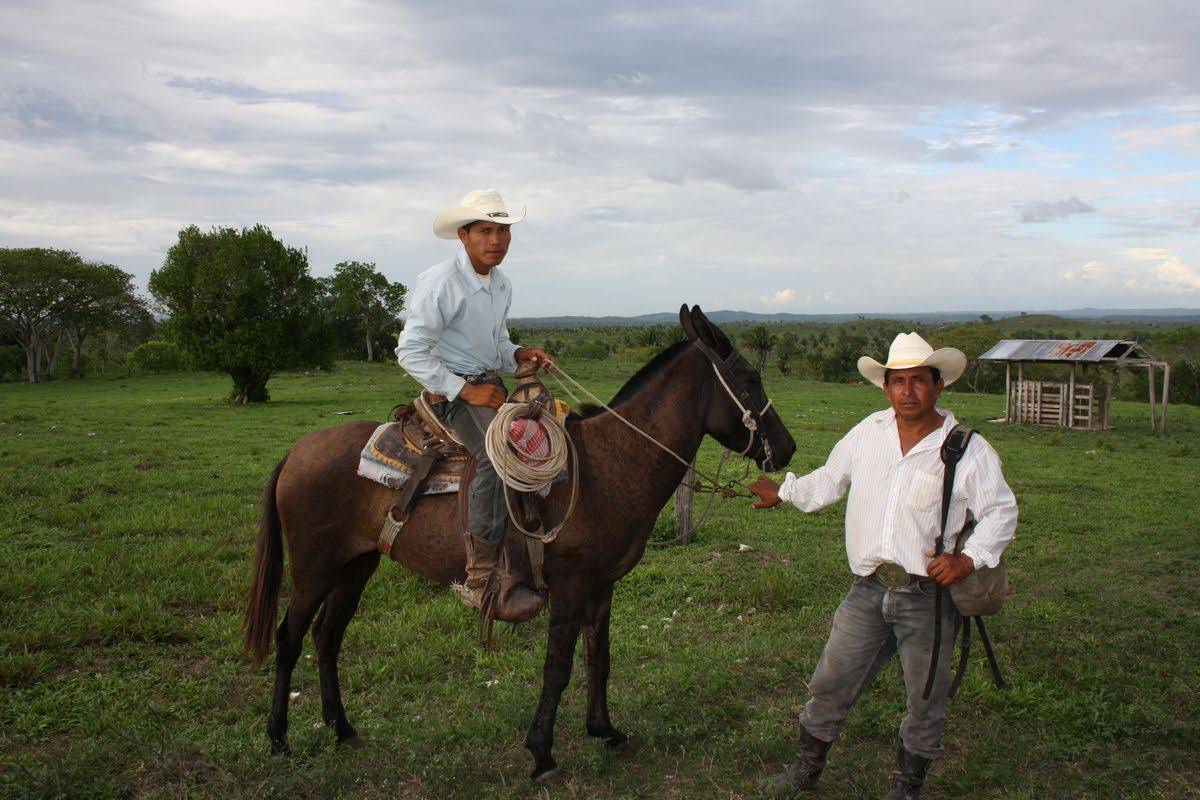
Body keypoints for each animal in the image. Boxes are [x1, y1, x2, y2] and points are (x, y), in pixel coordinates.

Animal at [243, 303, 796, 777]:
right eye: (750, 378)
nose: (787, 448)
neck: (607, 465)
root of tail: (296, 452)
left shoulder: (603, 587)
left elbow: (599, 657)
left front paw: (605, 730)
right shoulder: (570, 586)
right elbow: (558, 667)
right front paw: (542, 754)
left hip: (355, 566)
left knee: (327, 638)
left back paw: (343, 728)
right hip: (313, 569)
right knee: (290, 638)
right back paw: (278, 739)